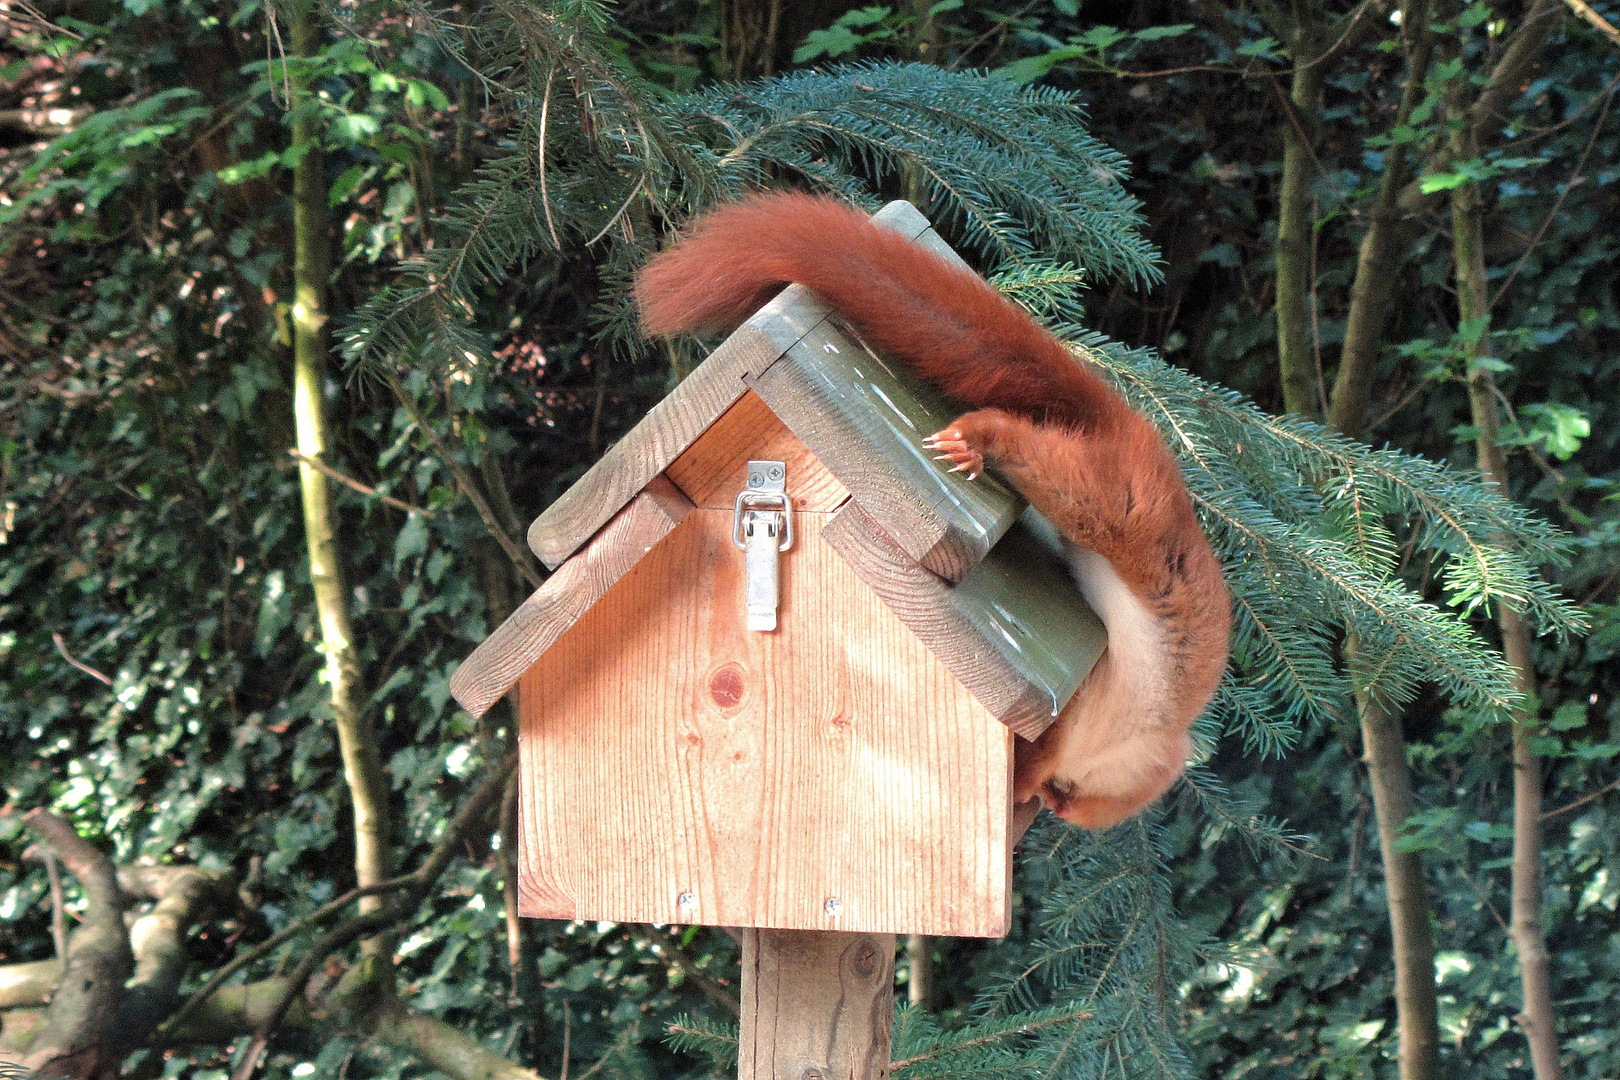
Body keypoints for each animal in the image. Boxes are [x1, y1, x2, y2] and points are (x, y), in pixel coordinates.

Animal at [631, 194, 1224, 835]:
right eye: (1074, 794)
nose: (1059, 807)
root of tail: (1135, 433)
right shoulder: (1084, 718)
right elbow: (1040, 755)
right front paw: (1022, 786)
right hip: (1110, 506)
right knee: (1030, 450)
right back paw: (973, 442)